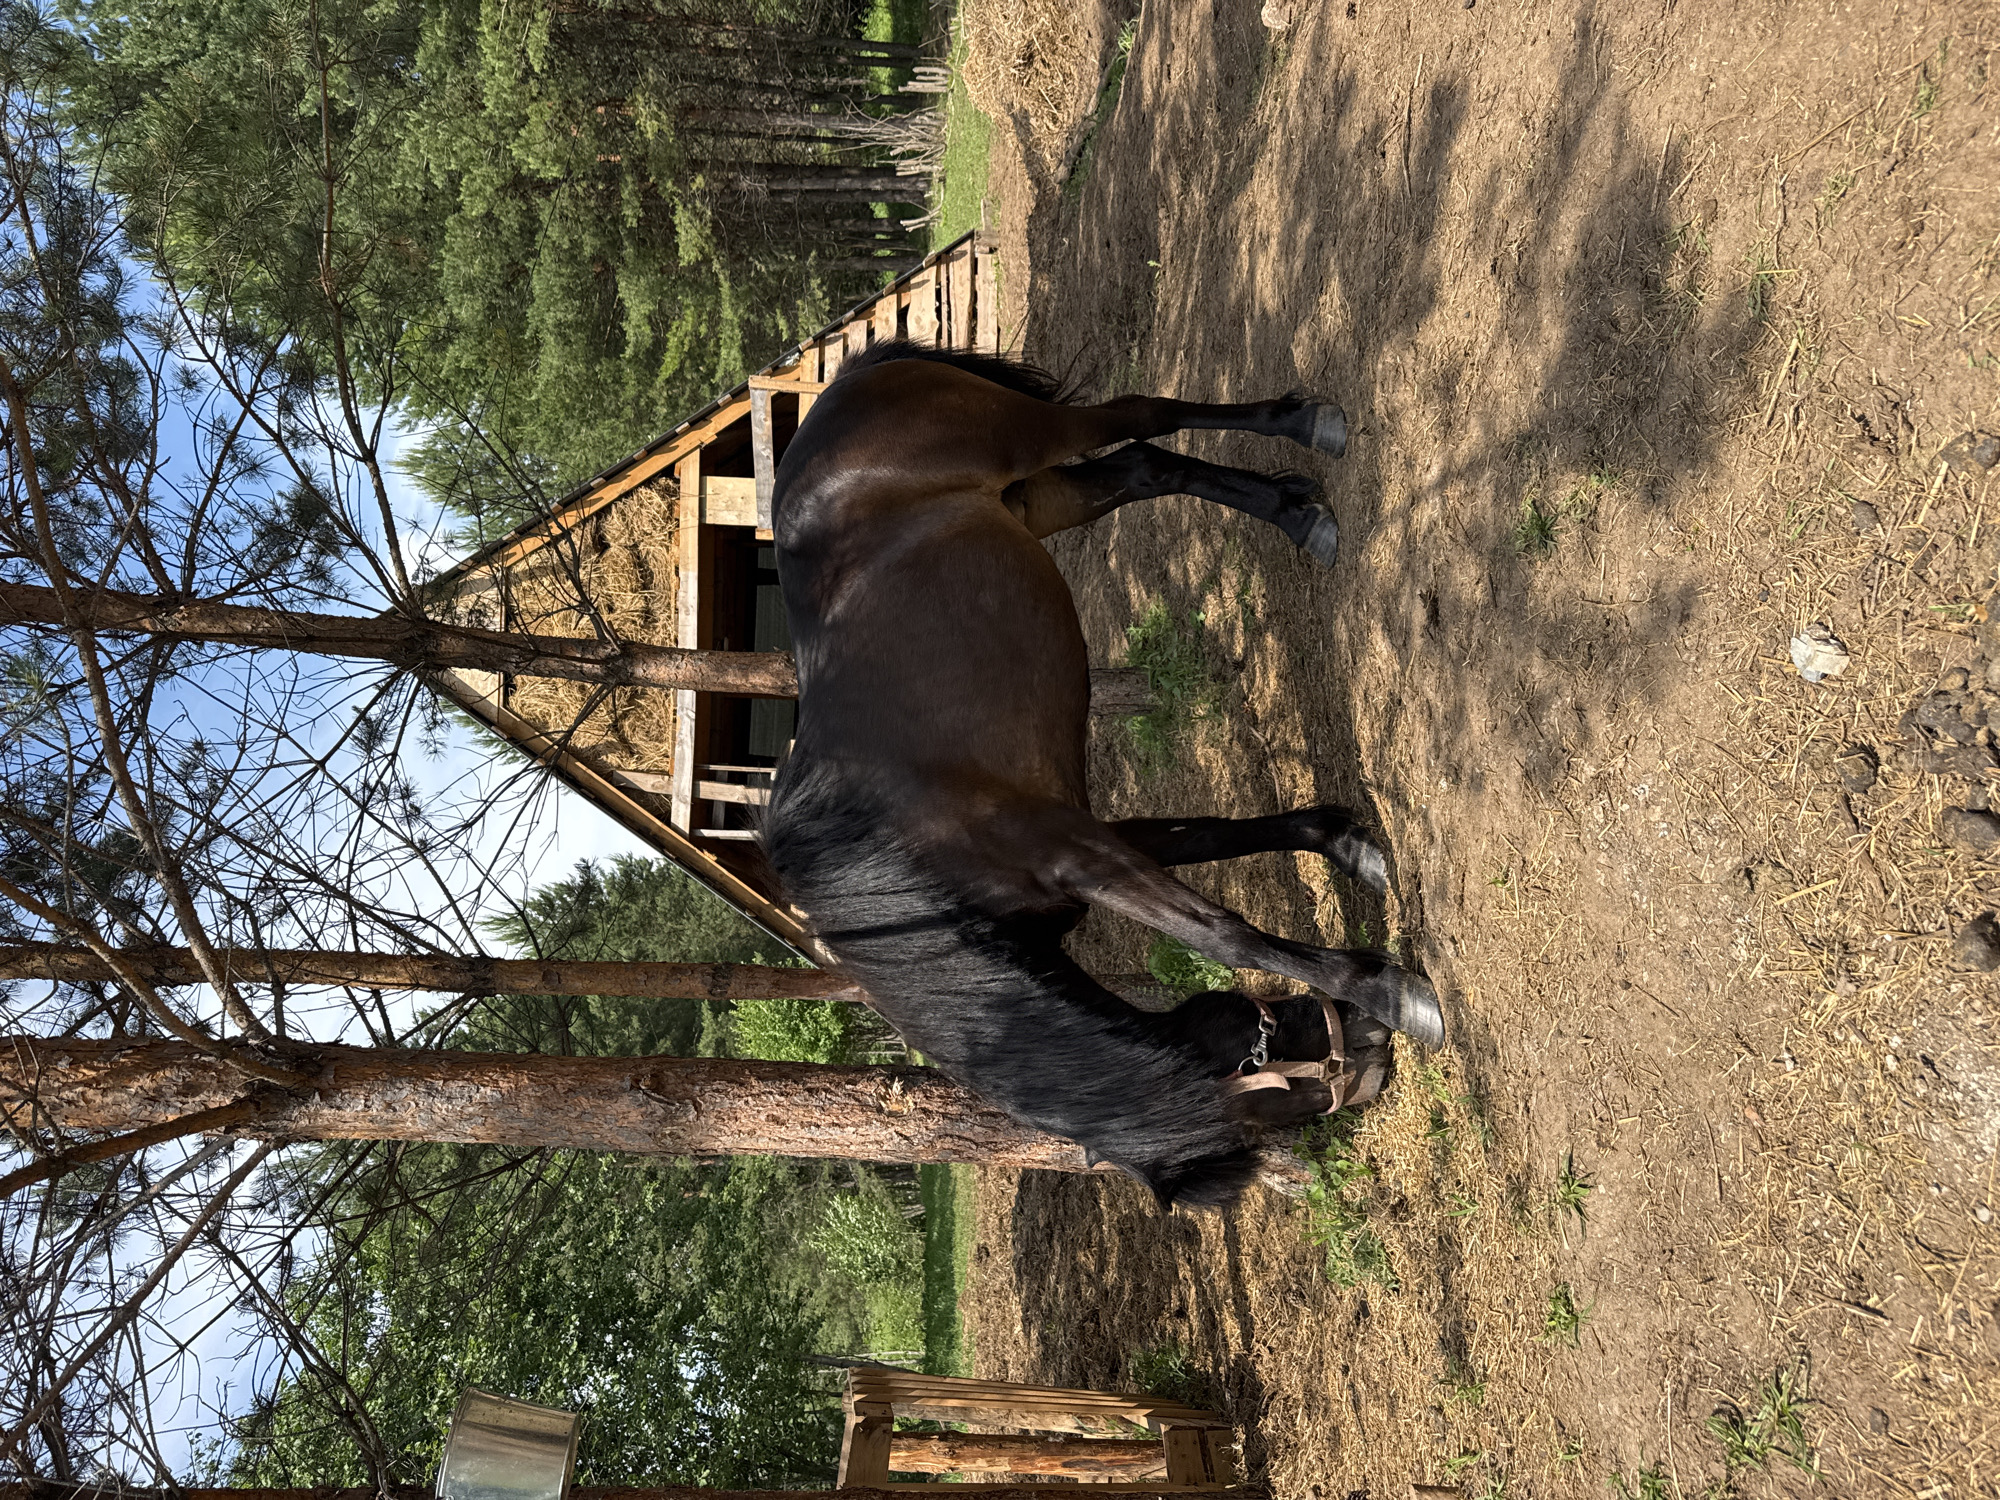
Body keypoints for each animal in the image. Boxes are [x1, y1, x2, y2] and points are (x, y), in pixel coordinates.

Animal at [763, 341, 1444, 1208]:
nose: (1369, 1051)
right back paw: (1292, 511)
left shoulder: (1076, 850)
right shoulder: (1091, 836)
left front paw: (1389, 988)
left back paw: (1303, 424)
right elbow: (1210, 840)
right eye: (1263, 1078)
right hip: (1040, 500)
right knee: (1145, 467)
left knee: (1142, 414)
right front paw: (1348, 851)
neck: (900, 878)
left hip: (1029, 438)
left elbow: (1222, 933)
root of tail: (843, 385)